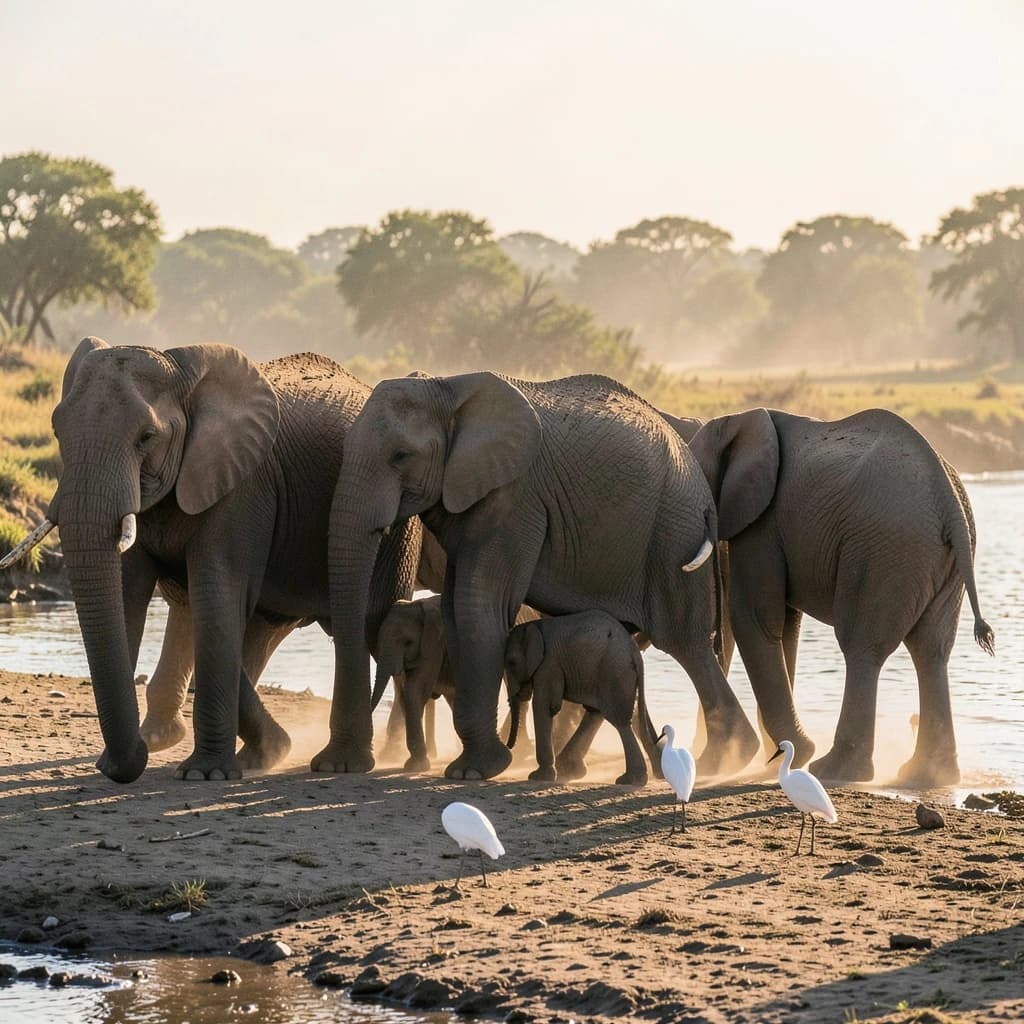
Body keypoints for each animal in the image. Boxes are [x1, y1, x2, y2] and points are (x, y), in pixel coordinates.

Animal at [4, 338, 420, 783]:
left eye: (146, 437)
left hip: (394, 523)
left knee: (373, 624)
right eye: (56, 431)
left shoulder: (243, 486)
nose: (123, 765)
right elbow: (127, 597)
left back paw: (358, 761)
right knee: (260, 632)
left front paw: (205, 775)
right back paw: (263, 755)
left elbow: (214, 594)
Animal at [504, 610, 660, 785]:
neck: (534, 627)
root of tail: (635, 654)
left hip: (615, 672)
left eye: (511, 663)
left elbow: (544, 706)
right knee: (602, 712)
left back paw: (629, 779)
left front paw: (539, 777)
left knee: (618, 721)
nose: (508, 747)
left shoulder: (549, 664)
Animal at [687, 406, 994, 786]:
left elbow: (754, 618)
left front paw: (797, 753)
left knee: (862, 647)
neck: (734, 420)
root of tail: (950, 502)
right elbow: (785, 627)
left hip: (883, 552)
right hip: (941, 562)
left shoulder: (763, 524)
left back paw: (834, 769)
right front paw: (781, 758)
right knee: (931, 651)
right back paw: (928, 776)